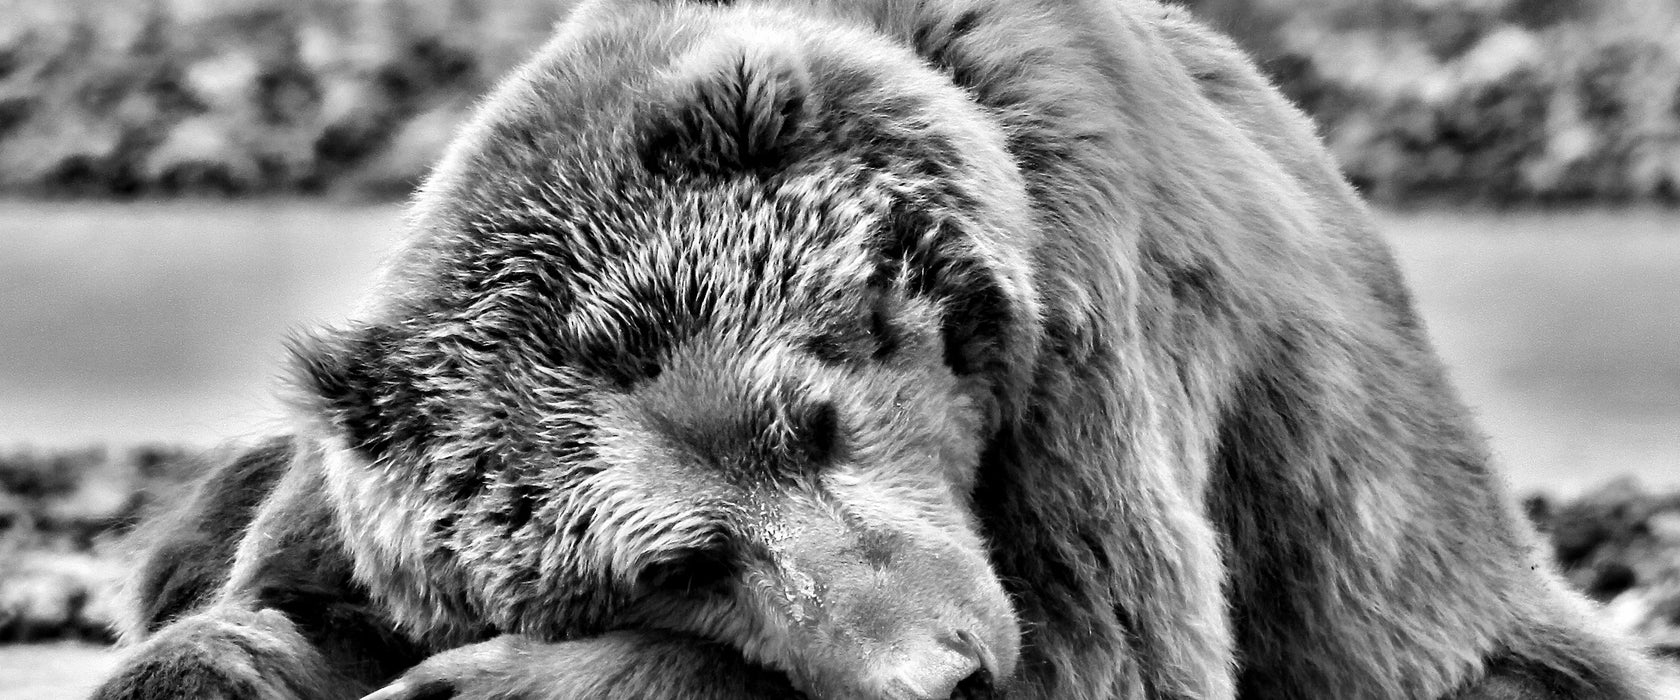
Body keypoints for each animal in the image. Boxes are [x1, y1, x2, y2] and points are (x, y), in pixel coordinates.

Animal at [88, 1, 1666, 698]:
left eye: (817, 414)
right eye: (678, 562)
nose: (941, 676)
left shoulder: (1091, 337)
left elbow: (1105, 648)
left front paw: (483, 685)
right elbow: (267, 600)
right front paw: (220, 663)